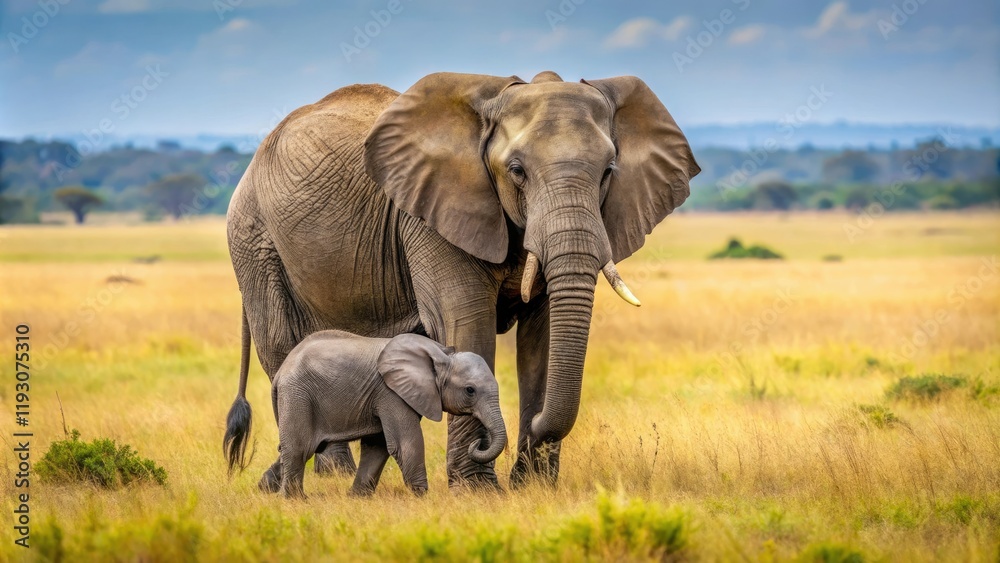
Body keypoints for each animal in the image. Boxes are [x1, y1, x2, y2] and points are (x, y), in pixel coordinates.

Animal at [250, 330, 506, 498]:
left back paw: (264, 490)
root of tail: (282, 371)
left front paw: (357, 498)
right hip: (298, 396)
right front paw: (422, 497)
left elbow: (378, 446)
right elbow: (404, 443)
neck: (440, 354)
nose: (477, 443)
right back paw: (293, 500)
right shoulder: (390, 392)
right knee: (300, 448)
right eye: (470, 390)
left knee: (293, 449)